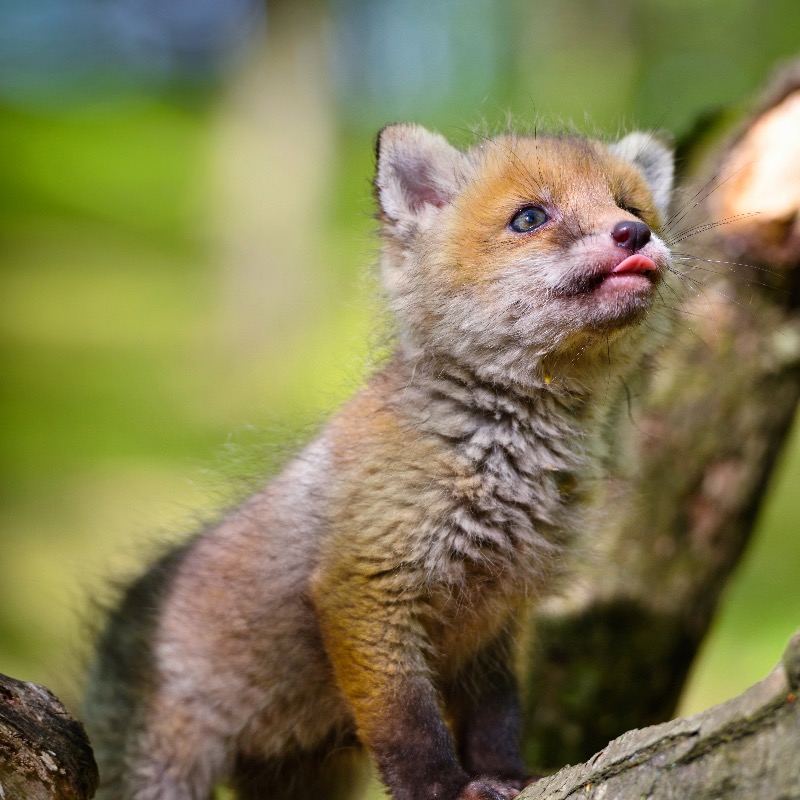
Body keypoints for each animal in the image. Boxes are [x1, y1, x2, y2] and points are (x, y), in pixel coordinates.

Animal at [82, 122, 674, 800]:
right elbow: (408, 724)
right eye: (530, 217)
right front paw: (444, 788)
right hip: (165, 771)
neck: (506, 462)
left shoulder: (496, 619)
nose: (633, 234)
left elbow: (496, 716)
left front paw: (507, 775)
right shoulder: (367, 589)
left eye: (631, 208)